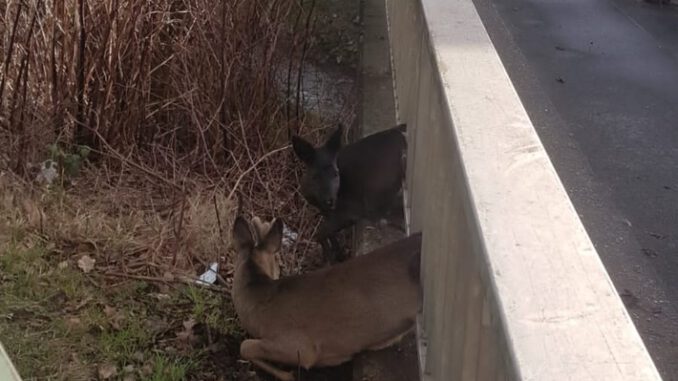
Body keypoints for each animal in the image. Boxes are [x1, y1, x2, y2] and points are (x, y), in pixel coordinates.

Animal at [294, 123, 410, 262]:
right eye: (315, 176)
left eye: (336, 174)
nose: (330, 200)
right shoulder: (328, 211)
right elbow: (328, 233)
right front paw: (337, 253)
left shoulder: (350, 211)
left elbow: (320, 233)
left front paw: (328, 258)